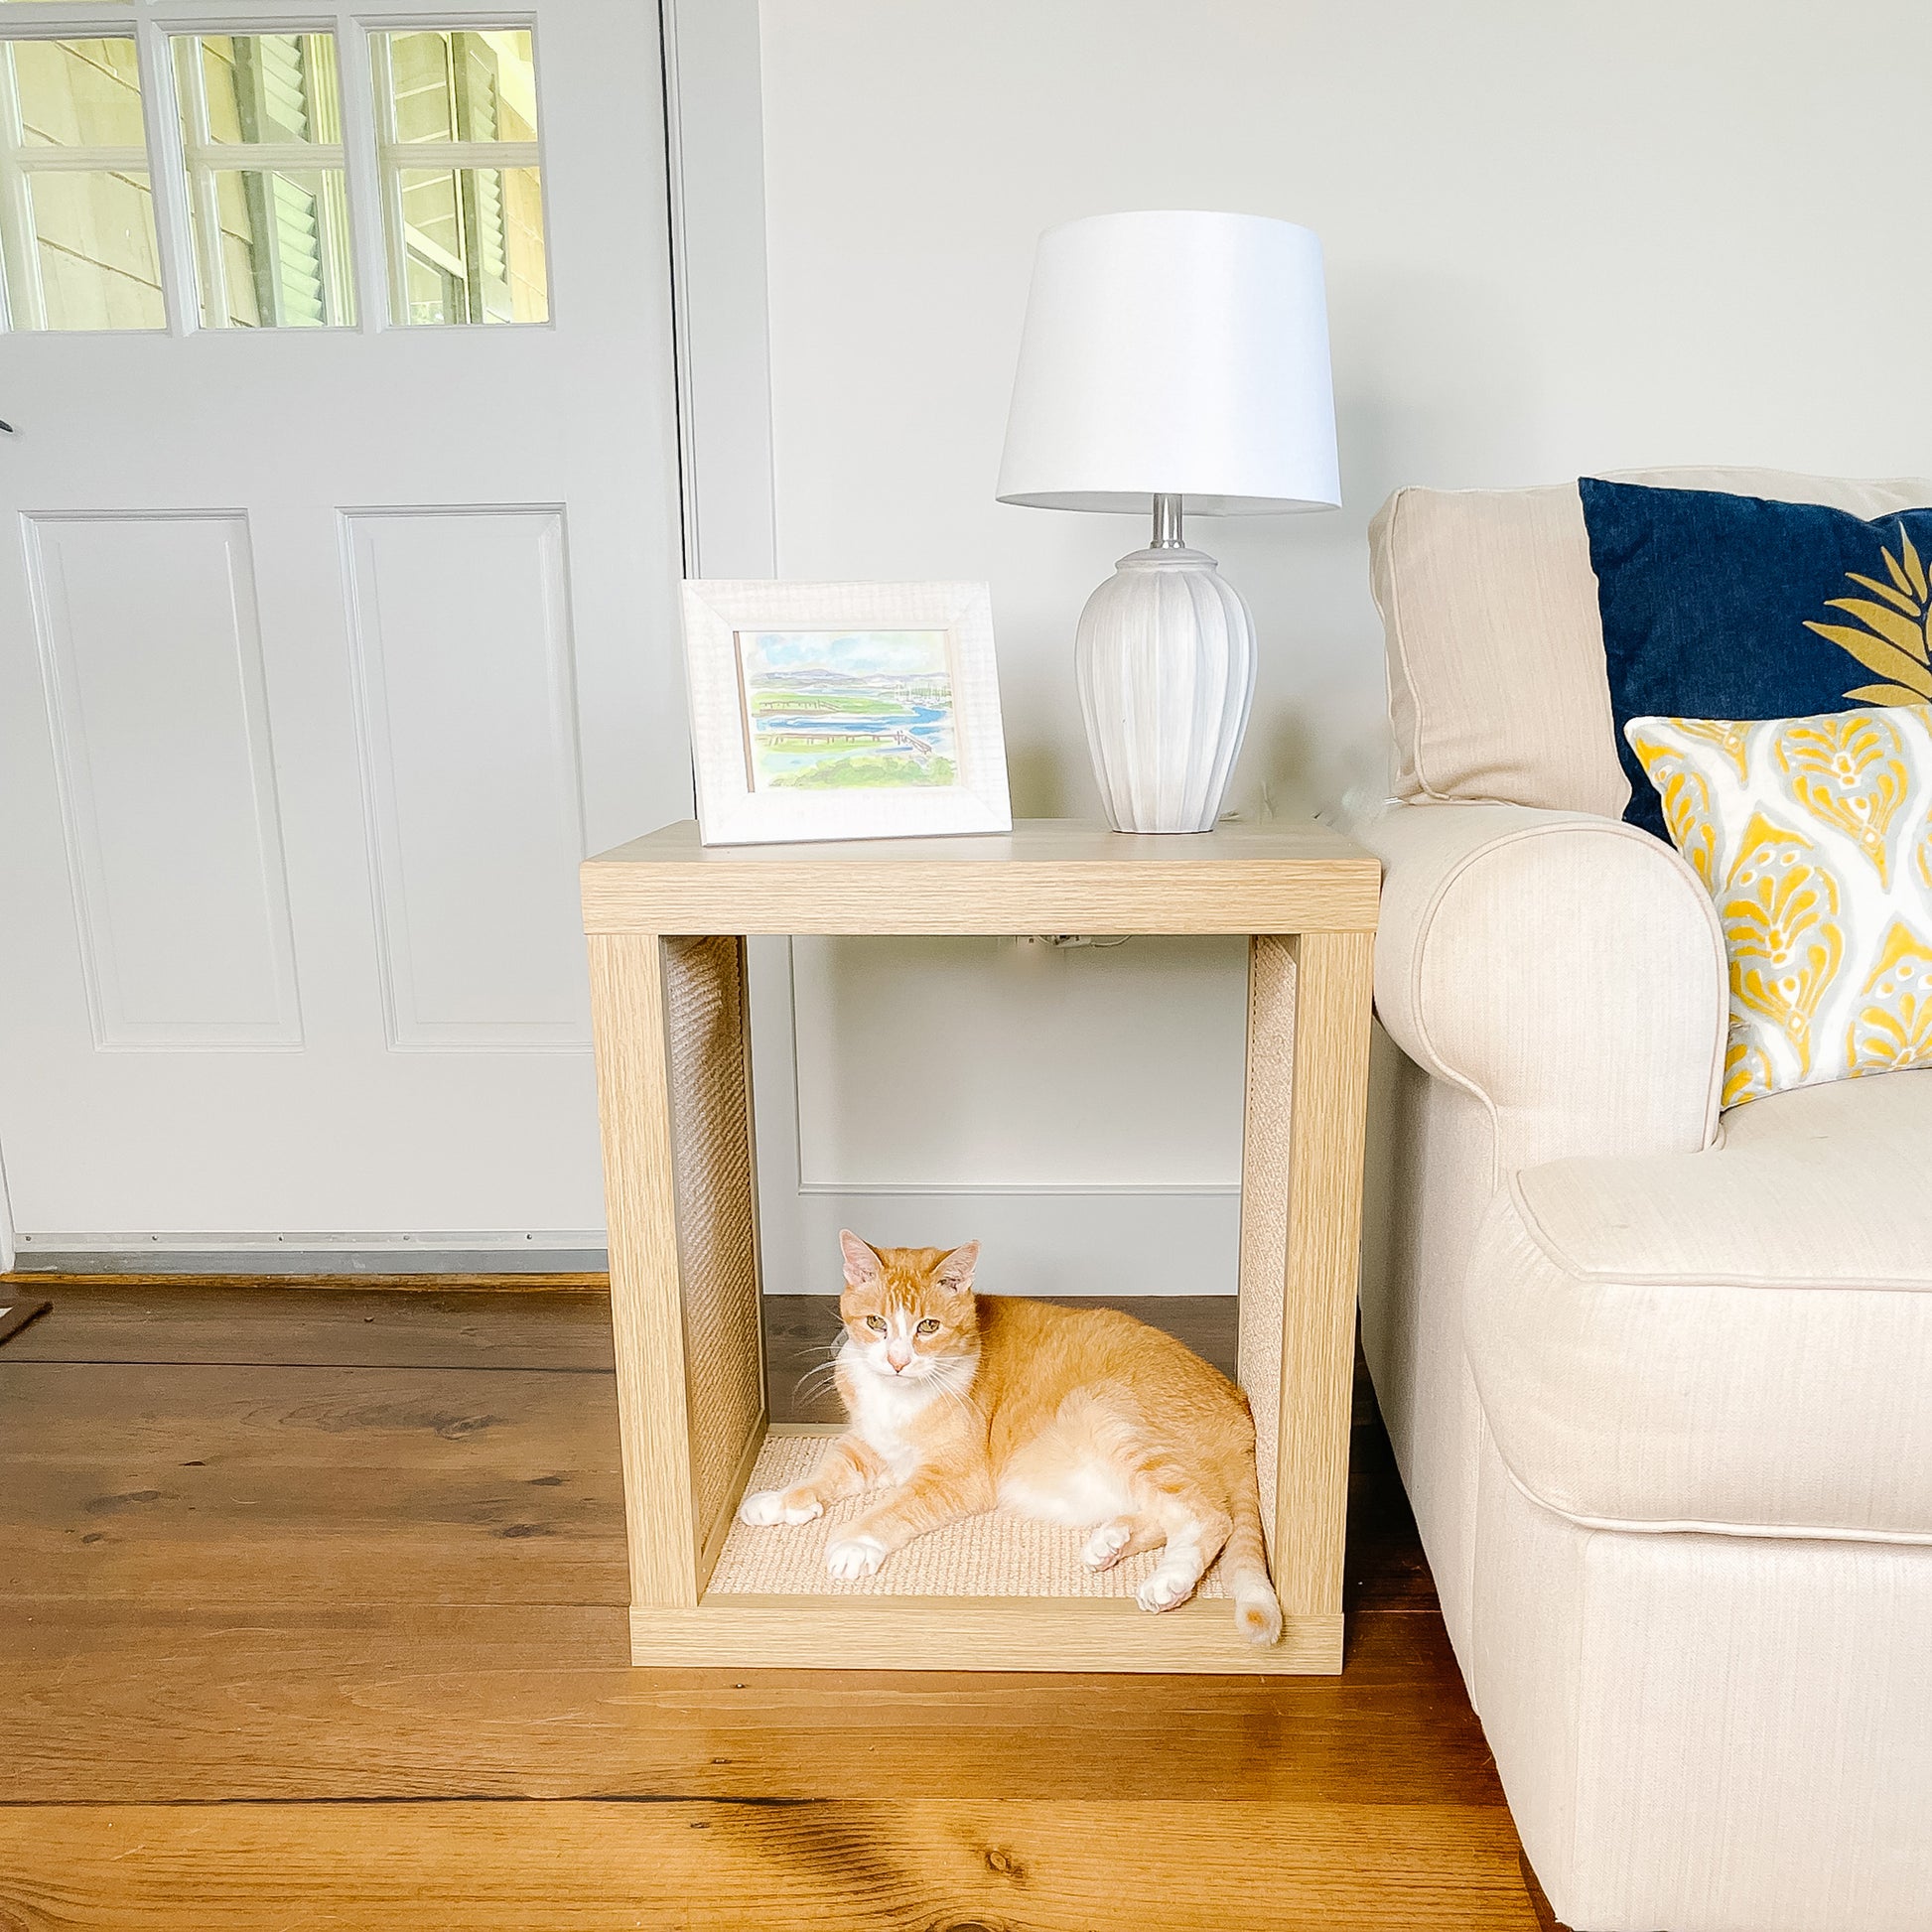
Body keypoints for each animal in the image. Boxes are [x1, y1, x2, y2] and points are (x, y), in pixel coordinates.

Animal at [738, 1228, 1283, 1638]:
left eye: (928, 1327)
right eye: (875, 1323)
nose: (897, 1361)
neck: (899, 1397)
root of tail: (1239, 1406)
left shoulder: (954, 1477)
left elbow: (892, 1508)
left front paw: (853, 1542)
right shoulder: (869, 1447)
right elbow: (823, 1473)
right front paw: (779, 1501)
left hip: (1104, 1412)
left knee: (1207, 1516)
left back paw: (1169, 1581)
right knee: (1164, 1513)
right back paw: (1111, 1540)